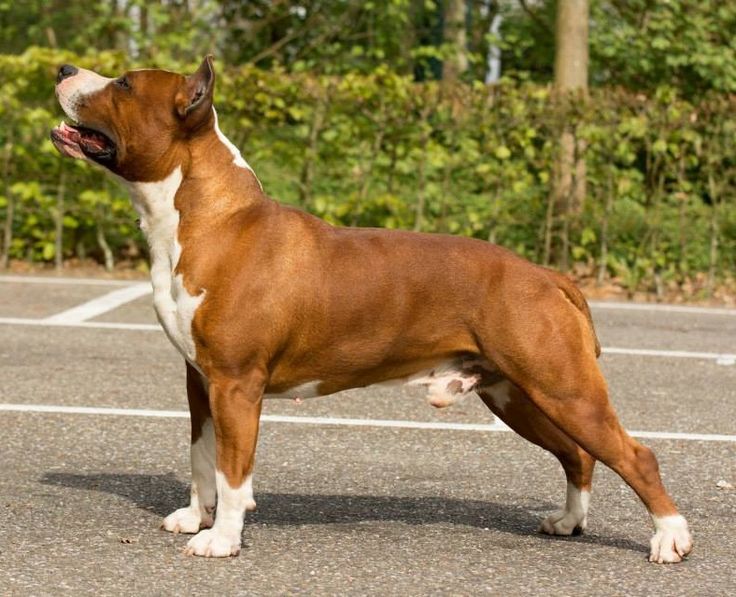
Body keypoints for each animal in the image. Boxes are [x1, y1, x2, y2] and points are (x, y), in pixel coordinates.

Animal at [50, 57, 688, 564]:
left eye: (124, 84)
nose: (61, 68)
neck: (203, 217)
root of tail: (545, 275)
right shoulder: (199, 380)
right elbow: (202, 455)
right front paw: (194, 517)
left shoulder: (235, 384)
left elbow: (233, 470)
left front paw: (221, 540)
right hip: (517, 395)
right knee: (577, 454)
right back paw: (569, 521)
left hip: (563, 388)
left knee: (635, 455)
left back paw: (670, 539)